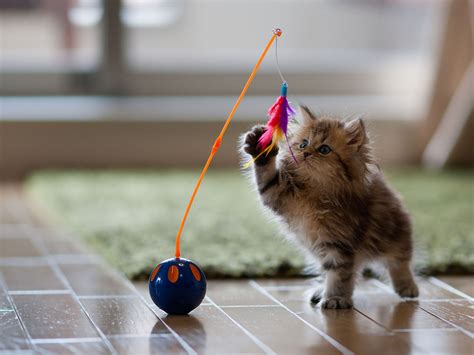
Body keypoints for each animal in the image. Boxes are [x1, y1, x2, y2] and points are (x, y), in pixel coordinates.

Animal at [241, 107, 418, 310]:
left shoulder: (339, 241)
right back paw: (320, 291)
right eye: (303, 144)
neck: (315, 192)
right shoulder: (276, 193)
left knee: (399, 261)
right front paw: (259, 147)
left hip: (395, 233)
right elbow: (266, 175)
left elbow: (339, 273)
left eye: (324, 149)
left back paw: (407, 287)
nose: (306, 153)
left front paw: (336, 298)